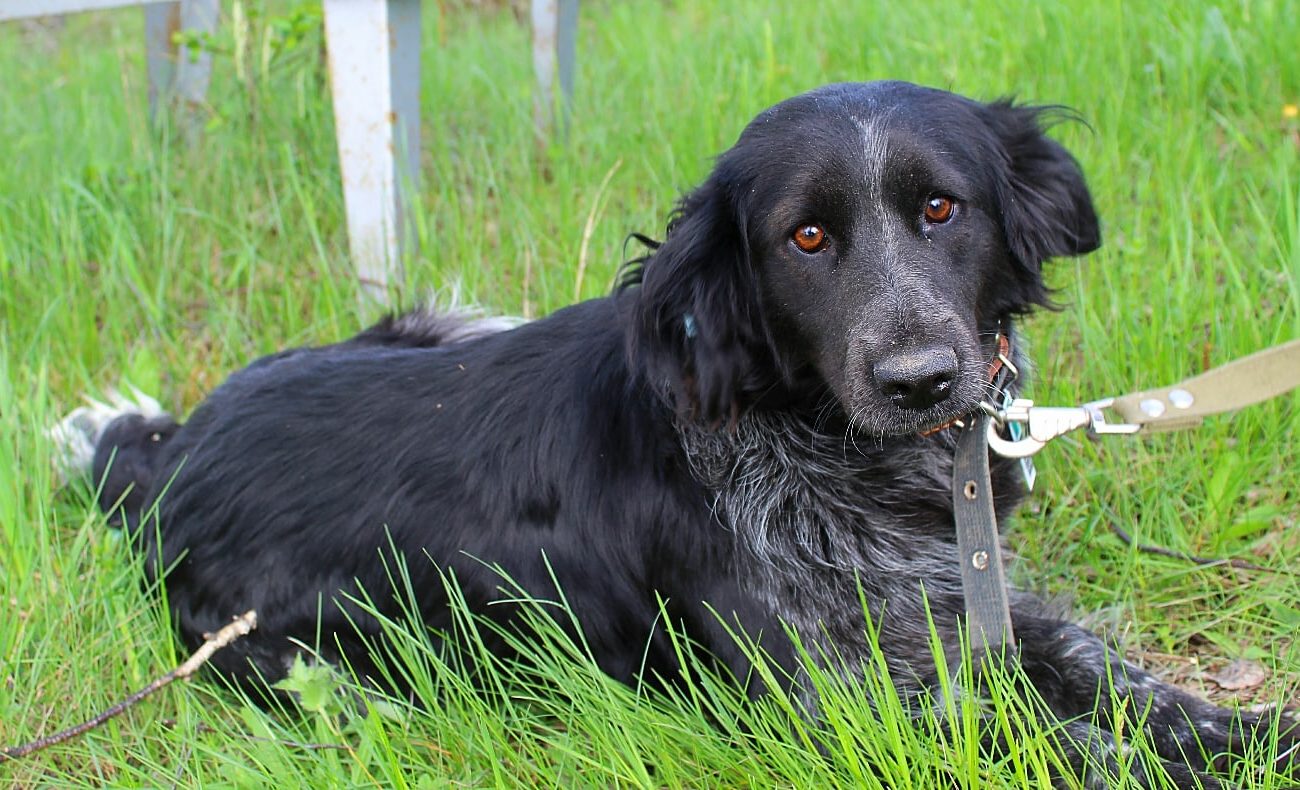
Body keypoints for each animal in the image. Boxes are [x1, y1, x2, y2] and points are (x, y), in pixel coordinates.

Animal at [78, 80, 1289, 784]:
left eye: (943, 208)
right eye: (806, 237)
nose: (920, 380)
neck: (821, 445)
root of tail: (169, 457)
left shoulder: (970, 603)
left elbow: (1119, 679)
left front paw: (1257, 731)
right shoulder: (836, 703)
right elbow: (1055, 737)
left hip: (444, 318)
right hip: (311, 666)